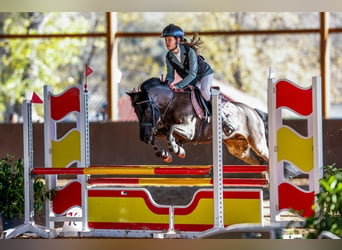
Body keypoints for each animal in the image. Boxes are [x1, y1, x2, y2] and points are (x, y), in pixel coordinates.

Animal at [126, 76, 270, 166]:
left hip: (257, 143)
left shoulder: (190, 133)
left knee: (267, 158)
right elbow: (159, 134)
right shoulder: (163, 130)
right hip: (239, 149)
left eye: (147, 111)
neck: (173, 103)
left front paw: (177, 150)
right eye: (136, 112)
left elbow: (171, 130)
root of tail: (254, 111)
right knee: (260, 162)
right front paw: (164, 154)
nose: (144, 138)